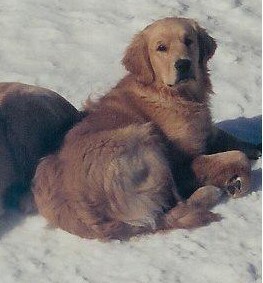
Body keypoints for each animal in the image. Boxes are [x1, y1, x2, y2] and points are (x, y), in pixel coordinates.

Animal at [32, 17, 258, 241]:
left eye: (189, 41)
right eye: (161, 48)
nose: (183, 64)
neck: (173, 95)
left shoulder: (205, 131)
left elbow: (227, 137)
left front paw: (254, 147)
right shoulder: (182, 162)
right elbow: (237, 156)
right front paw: (239, 180)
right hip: (144, 139)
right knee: (170, 209)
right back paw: (210, 192)